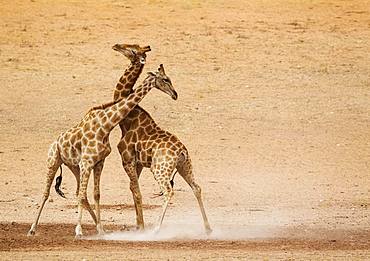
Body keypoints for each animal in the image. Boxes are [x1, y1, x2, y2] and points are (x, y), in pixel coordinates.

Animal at [26, 63, 177, 238]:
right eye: (165, 79)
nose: (175, 94)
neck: (105, 125)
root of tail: (54, 143)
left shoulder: (98, 162)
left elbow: (95, 194)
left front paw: (100, 229)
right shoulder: (87, 162)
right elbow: (83, 194)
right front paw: (79, 231)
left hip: (74, 166)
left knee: (80, 193)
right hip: (53, 162)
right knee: (46, 193)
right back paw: (32, 229)